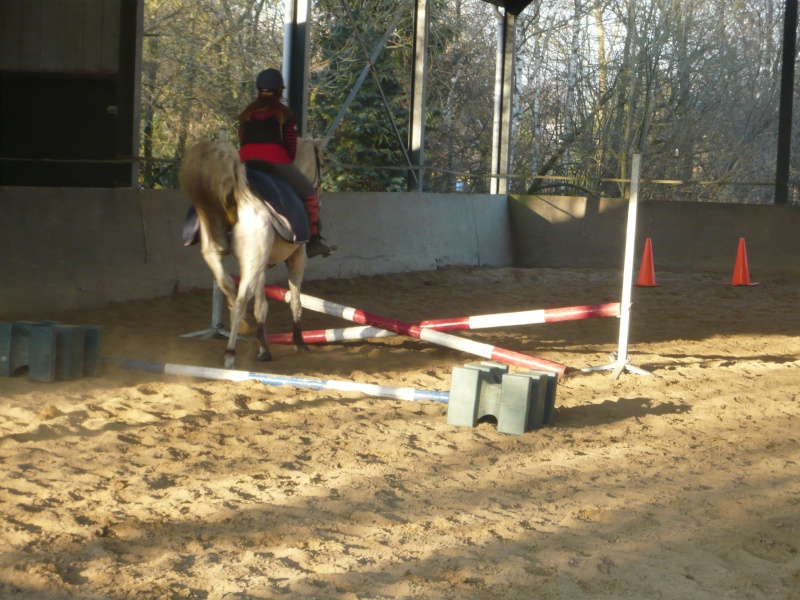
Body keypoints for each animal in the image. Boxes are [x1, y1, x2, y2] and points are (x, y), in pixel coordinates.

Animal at [180, 138, 310, 368]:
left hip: (221, 256)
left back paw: (237, 323)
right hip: (254, 262)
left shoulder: (261, 266)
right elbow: (295, 301)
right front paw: (298, 342)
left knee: (227, 285)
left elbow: (261, 306)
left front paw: (263, 348)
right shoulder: (298, 256)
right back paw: (230, 352)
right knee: (241, 299)